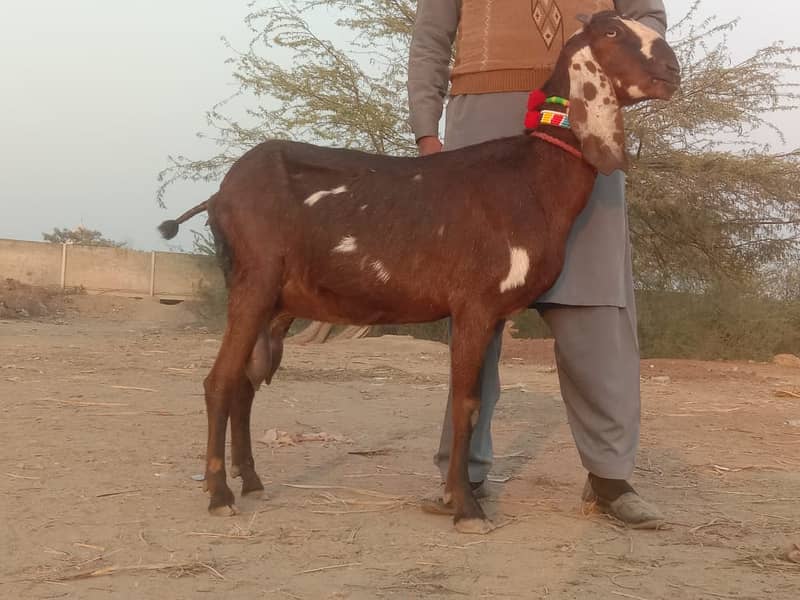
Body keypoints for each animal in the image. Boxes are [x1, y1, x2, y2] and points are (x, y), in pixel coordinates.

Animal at [161, 11, 680, 532]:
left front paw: (457, 496)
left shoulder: (493, 313)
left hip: (277, 303)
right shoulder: (474, 304)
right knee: (219, 382)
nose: (673, 69)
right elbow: (466, 404)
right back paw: (219, 493)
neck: (530, 177)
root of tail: (220, 194)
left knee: (245, 384)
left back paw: (251, 482)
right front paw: (466, 506)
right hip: (254, 281)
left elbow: (473, 403)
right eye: (612, 32)